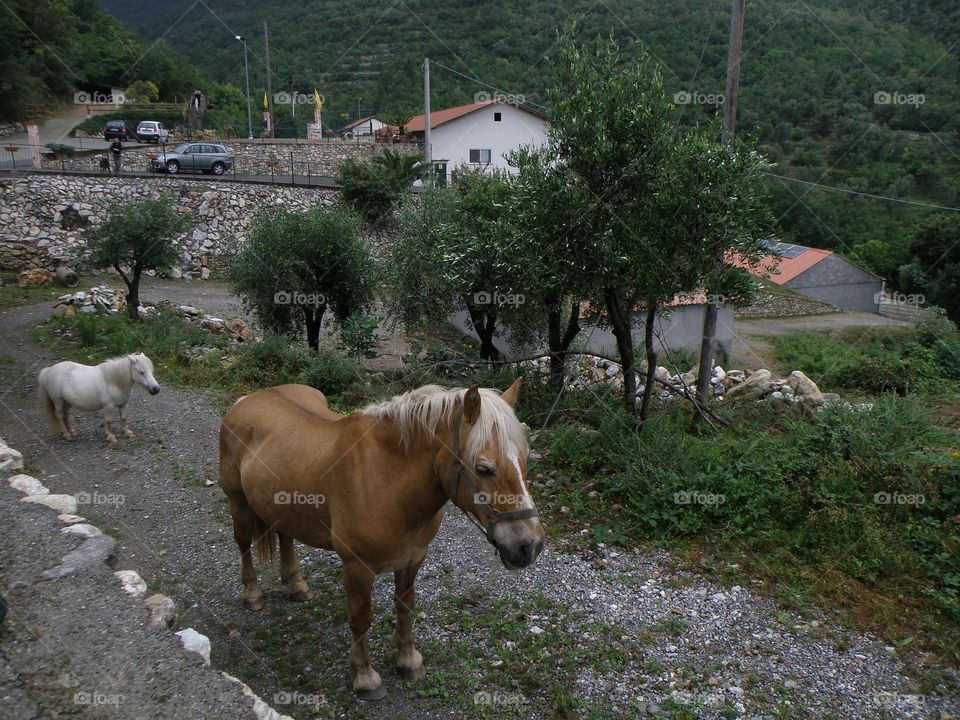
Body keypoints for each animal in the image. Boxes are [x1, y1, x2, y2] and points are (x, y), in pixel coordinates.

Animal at [220, 380, 544, 700]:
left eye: (525, 458)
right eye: (484, 469)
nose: (530, 545)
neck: (388, 479)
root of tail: (246, 400)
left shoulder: (413, 558)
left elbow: (405, 606)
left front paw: (408, 661)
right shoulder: (356, 567)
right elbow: (361, 618)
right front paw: (365, 677)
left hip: (281, 505)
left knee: (285, 537)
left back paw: (296, 586)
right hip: (239, 504)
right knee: (243, 544)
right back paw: (253, 594)